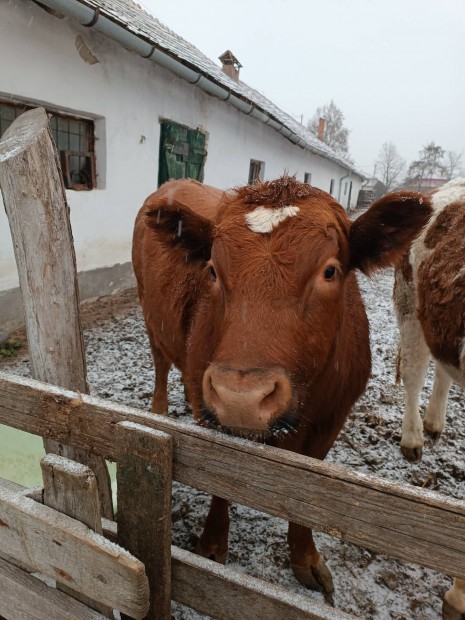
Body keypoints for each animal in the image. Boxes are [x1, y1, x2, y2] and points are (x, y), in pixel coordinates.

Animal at [132, 174, 430, 592]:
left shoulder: (331, 422)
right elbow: (220, 481)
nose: (240, 397)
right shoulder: (208, 408)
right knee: (159, 362)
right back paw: (158, 409)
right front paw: (212, 546)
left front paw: (305, 557)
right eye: (212, 270)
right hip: (150, 314)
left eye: (330, 271)